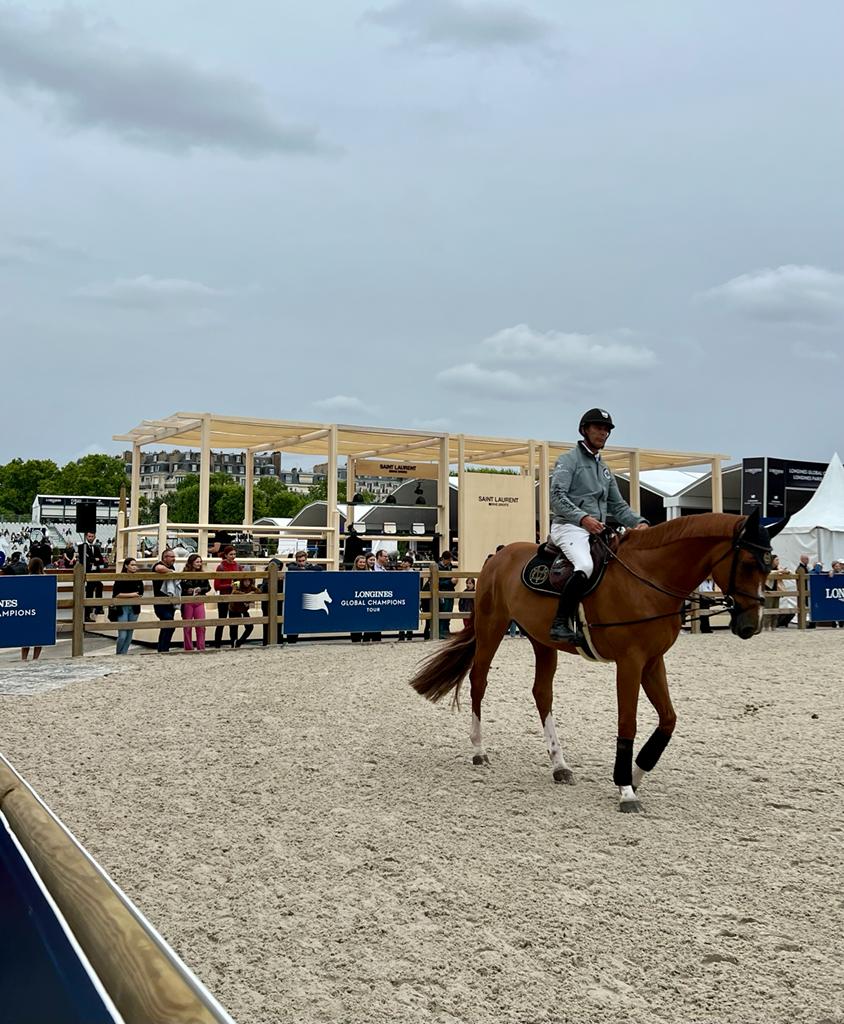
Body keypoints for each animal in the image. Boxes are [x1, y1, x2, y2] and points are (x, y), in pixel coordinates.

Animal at [405, 507, 782, 811]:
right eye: (749, 563)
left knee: (542, 693)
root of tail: (500, 554)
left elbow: (669, 720)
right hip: (492, 628)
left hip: (542, 641)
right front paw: (626, 789)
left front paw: (637, 773)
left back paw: (559, 764)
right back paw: (479, 750)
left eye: (770, 566)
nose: (751, 625)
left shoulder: (653, 661)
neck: (649, 578)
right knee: (478, 683)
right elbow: (627, 723)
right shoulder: (630, 662)